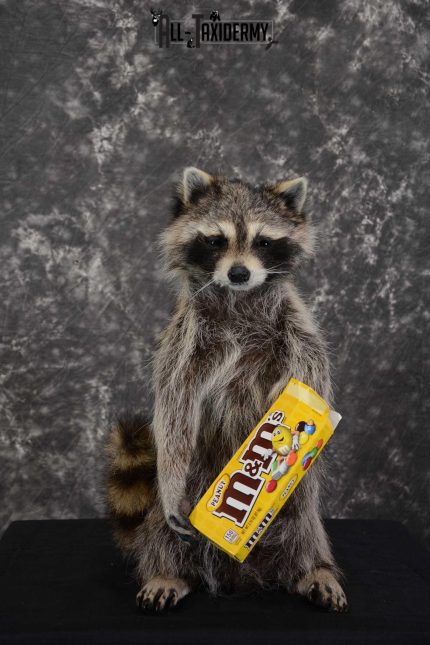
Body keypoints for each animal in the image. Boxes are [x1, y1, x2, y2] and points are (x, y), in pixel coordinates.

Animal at [106, 168, 348, 613]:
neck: (240, 300)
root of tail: (241, 576)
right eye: (216, 240)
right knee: (164, 536)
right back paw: (168, 572)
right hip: (182, 502)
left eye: (263, 242)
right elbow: (174, 410)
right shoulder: (183, 341)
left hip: (298, 512)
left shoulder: (298, 332)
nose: (238, 273)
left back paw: (314, 571)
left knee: (305, 529)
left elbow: (312, 381)